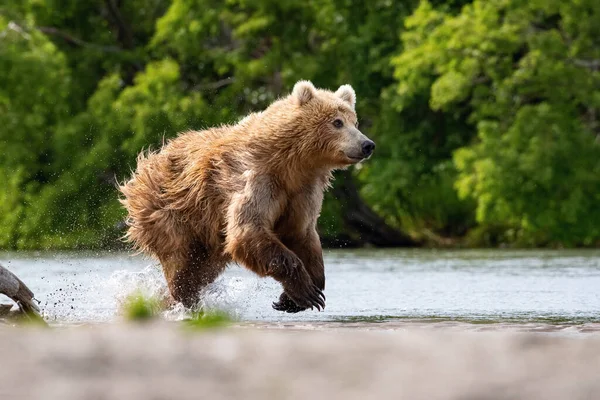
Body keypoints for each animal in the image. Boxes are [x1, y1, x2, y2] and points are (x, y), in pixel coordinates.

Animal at [118, 80, 376, 312]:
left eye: (354, 121)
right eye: (337, 122)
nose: (367, 144)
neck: (293, 165)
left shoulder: (303, 192)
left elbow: (302, 234)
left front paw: (294, 298)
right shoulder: (258, 179)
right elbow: (248, 230)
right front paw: (305, 292)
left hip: (210, 238)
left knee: (203, 270)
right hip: (173, 215)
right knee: (182, 267)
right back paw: (181, 300)